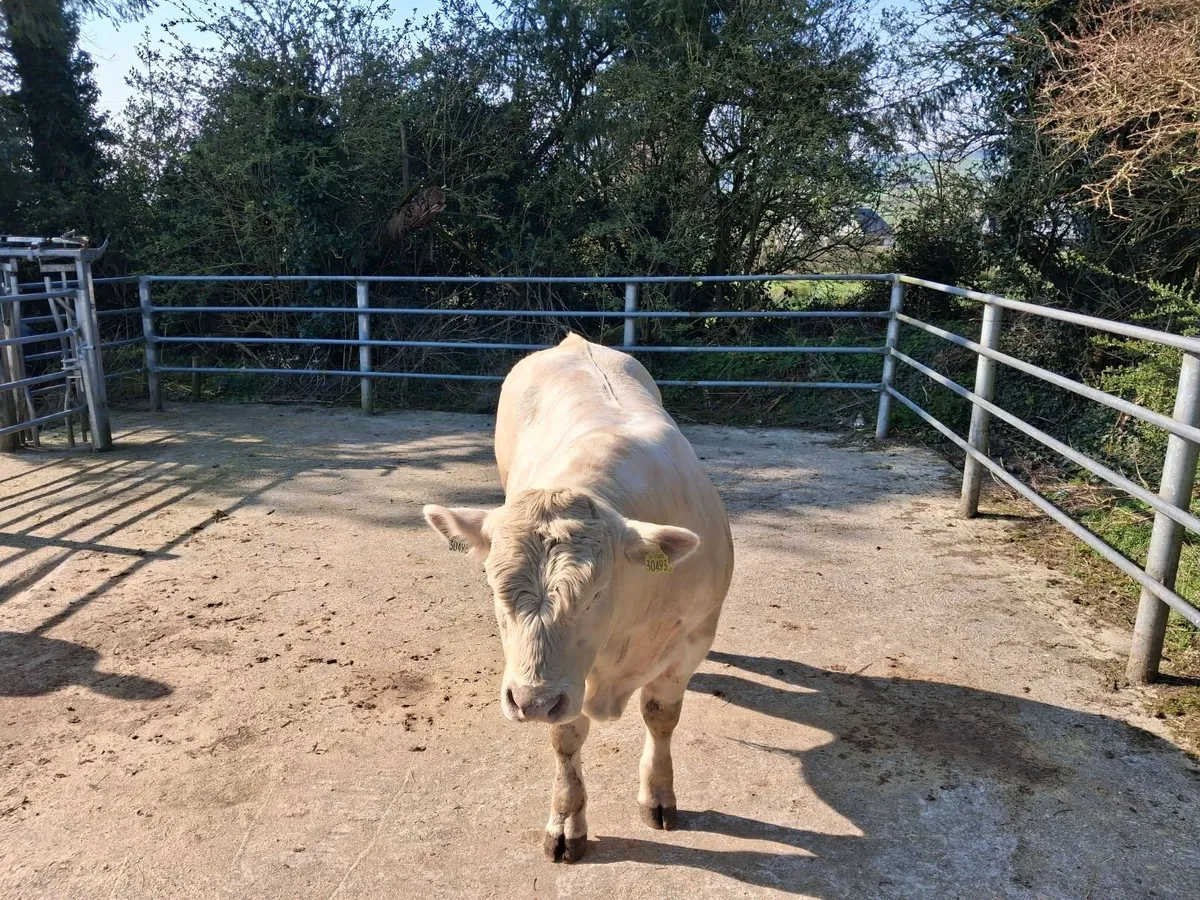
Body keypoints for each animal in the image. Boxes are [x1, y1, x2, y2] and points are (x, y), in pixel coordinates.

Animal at [423, 332, 734, 863]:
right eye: (492, 587)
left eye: (595, 594)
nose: (530, 701)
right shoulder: (564, 685)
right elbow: (566, 738)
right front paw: (567, 822)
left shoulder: (693, 637)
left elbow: (662, 717)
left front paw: (659, 794)